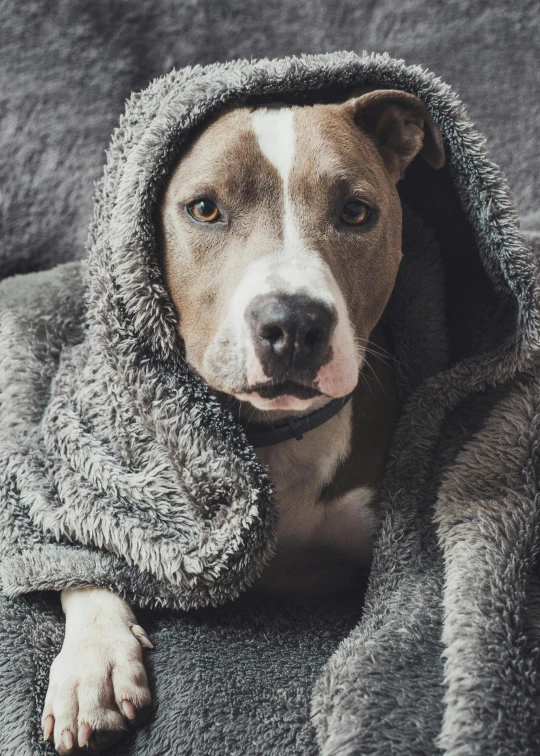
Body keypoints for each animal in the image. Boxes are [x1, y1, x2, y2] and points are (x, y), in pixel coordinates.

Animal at [39, 87, 442, 752]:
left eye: (357, 212)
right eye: (204, 209)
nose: (295, 323)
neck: (275, 438)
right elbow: (80, 549)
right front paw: (92, 666)